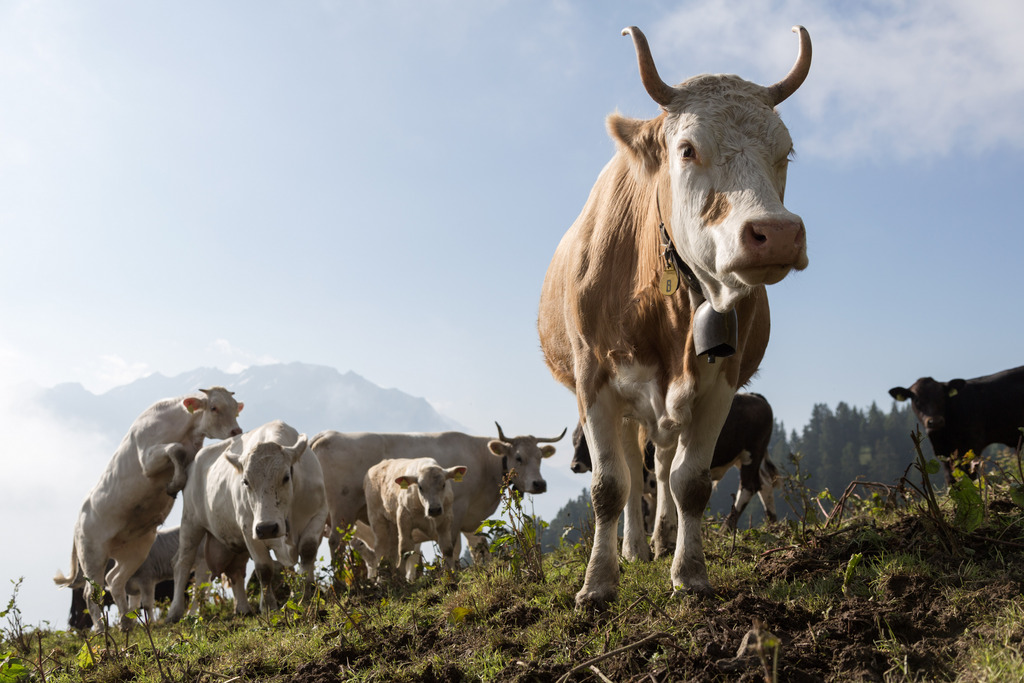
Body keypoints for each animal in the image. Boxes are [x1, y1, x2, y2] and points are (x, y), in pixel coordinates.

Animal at [57, 387, 244, 634]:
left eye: (235, 407)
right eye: (214, 407)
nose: (236, 431)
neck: (183, 428)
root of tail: (78, 520)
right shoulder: (148, 459)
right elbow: (176, 449)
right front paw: (174, 484)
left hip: (137, 549)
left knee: (115, 580)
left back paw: (126, 622)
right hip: (92, 554)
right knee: (91, 593)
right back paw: (100, 628)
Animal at [166, 419, 327, 622]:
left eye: (286, 476)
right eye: (246, 481)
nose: (267, 528)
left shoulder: (319, 513)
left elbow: (307, 550)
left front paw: (305, 597)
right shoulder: (249, 527)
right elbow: (264, 568)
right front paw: (268, 607)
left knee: (235, 571)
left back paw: (242, 608)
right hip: (191, 522)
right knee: (182, 563)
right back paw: (175, 612)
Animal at [313, 428, 565, 565]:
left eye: (540, 457)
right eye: (519, 457)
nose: (539, 483)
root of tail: (327, 435)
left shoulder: (471, 518)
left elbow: (479, 546)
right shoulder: (457, 509)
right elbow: (452, 546)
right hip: (343, 510)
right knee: (336, 544)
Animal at [540, 25, 811, 610]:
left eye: (785, 152)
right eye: (687, 150)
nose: (777, 233)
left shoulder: (720, 381)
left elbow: (690, 483)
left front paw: (689, 573)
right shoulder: (594, 380)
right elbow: (609, 486)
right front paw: (597, 584)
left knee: (662, 469)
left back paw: (662, 539)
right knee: (632, 469)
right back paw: (636, 548)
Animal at [888, 366, 1024, 483]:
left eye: (942, 397)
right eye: (917, 400)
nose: (935, 421)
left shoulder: (972, 444)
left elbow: (969, 475)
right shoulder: (942, 451)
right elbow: (950, 478)